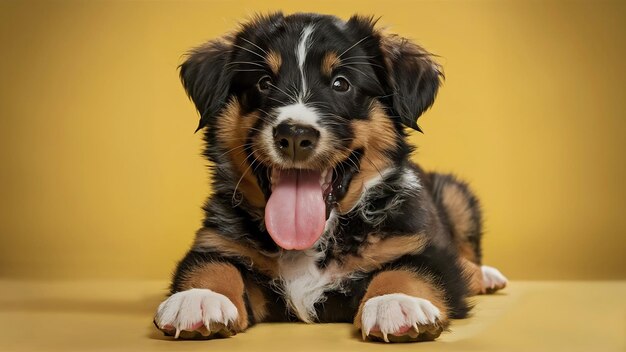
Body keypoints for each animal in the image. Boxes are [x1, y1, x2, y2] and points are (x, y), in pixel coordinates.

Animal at [152, 12, 508, 342]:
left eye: (341, 84)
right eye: (264, 82)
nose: (295, 135)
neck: (312, 242)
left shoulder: (421, 245)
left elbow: (410, 270)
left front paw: (396, 302)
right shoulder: (217, 241)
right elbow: (211, 265)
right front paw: (198, 298)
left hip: (455, 195)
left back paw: (487, 276)